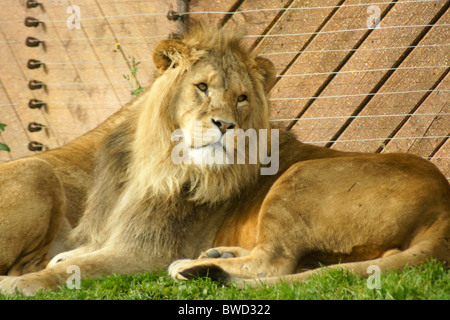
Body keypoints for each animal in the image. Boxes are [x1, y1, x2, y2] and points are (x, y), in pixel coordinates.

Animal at [0, 24, 450, 296]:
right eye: (202, 87)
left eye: (242, 98)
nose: (226, 124)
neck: (153, 162)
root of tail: (444, 201)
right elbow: (73, 255)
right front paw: (64, 256)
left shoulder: (146, 255)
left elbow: (64, 271)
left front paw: (17, 284)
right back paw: (216, 257)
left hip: (299, 178)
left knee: (275, 265)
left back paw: (193, 268)